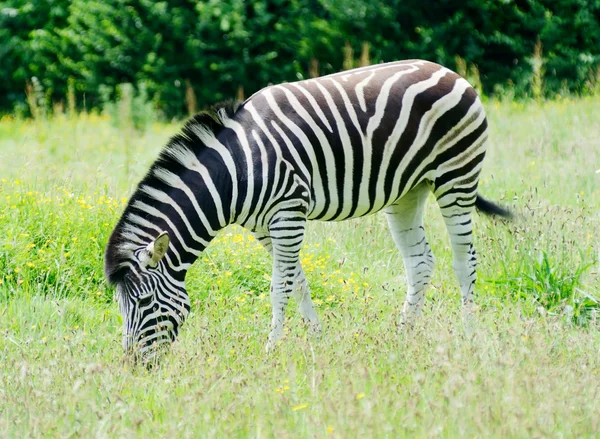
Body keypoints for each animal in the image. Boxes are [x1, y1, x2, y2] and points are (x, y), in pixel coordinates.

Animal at [105, 59, 508, 364]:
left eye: (143, 302)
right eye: (120, 306)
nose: (133, 366)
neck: (238, 170)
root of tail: (451, 72)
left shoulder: (288, 214)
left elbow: (278, 287)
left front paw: (270, 351)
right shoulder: (264, 226)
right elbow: (298, 282)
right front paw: (317, 339)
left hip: (456, 176)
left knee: (464, 259)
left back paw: (468, 334)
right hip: (408, 191)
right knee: (421, 262)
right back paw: (402, 335)